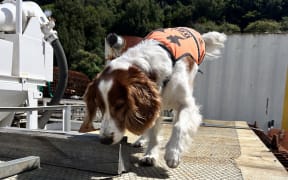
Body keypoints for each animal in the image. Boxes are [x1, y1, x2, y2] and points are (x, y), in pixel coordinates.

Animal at [79, 27, 227, 168]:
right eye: (100, 106)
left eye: (120, 105)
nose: (104, 140)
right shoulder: (154, 105)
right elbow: (153, 131)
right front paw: (150, 155)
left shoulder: (186, 103)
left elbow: (179, 125)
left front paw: (173, 153)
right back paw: (141, 140)